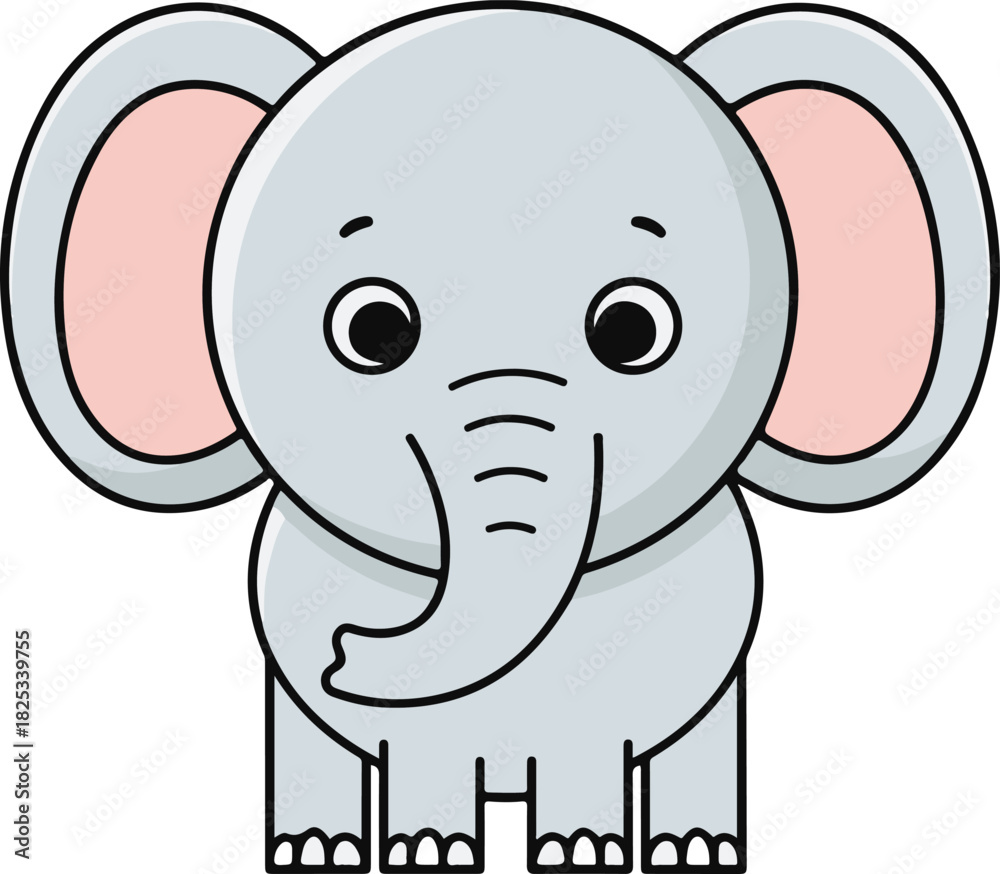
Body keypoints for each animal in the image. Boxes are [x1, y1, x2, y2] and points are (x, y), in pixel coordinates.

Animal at [3, 1, 995, 872]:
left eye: (633, 330)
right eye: (372, 330)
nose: (347, 649)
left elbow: (591, 745)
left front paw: (580, 853)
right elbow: (414, 756)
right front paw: (427, 854)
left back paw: (695, 851)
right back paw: (317, 851)